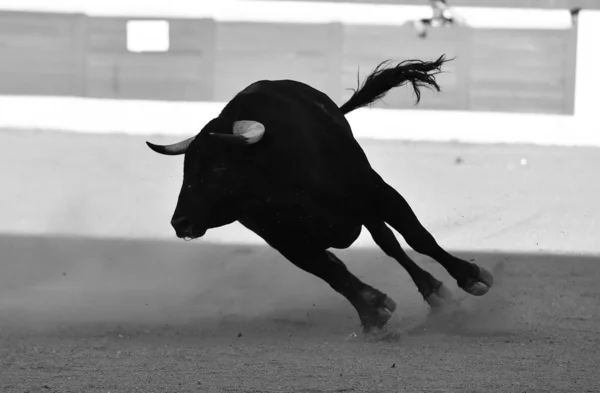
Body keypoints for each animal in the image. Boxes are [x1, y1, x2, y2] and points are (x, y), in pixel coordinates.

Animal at [146, 54, 492, 330]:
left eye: (219, 167)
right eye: (185, 169)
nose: (180, 223)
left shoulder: (376, 192)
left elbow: (417, 237)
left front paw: (470, 277)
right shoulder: (288, 243)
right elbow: (333, 274)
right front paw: (372, 312)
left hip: (368, 201)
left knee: (390, 242)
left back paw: (436, 292)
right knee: (363, 252)